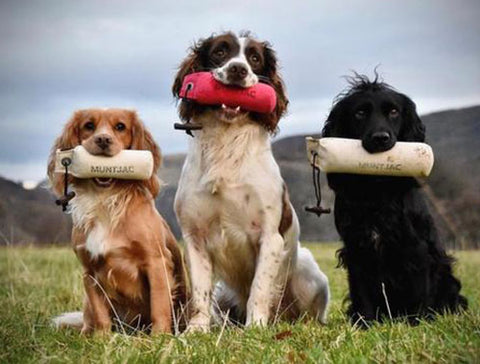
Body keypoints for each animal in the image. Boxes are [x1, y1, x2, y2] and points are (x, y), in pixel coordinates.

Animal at [173, 32, 330, 332]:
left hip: (309, 273)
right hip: (223, 291)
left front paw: (256, 327)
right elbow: (199, 293)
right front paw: (196, 330)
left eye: (255, 58)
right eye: (220, 52)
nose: (238, 70)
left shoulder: (270, 237)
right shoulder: (194, 237)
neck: (226, 146)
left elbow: (259, 288)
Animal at [320, 75, 466, 326]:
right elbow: (362, 292)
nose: (381, 138)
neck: (377, 188)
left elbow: (420, 290)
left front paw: (417, 323)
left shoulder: (417, 247)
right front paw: (365, 324)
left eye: (394, 112)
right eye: (360, 113)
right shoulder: (356, 247)